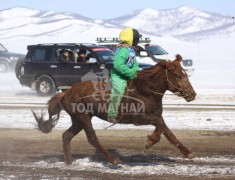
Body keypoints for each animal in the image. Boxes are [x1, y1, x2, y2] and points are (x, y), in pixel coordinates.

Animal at [31, 54, 196, 165]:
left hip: (78, 120)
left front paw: (188, 152)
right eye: (178, 75)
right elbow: (160, 125)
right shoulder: (138, 118)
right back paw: (113, 159)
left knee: (66, 136)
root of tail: (66, 93)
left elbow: (167, 132)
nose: (192, 94)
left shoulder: (155, 116)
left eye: (186, 74)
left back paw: (69, 162)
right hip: (83, 117)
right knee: (92, 138)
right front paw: (149, 141)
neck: (146, 89)